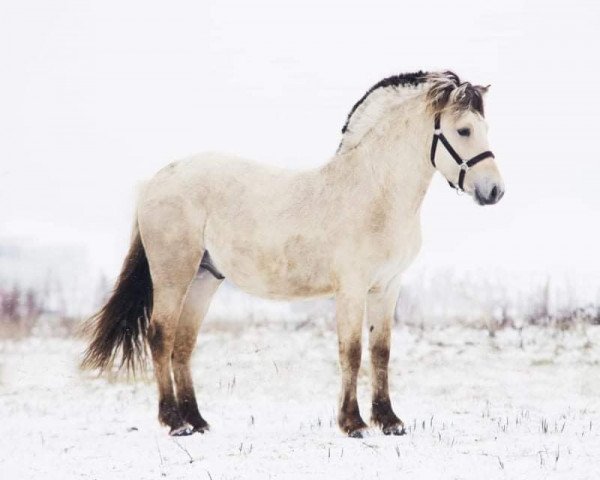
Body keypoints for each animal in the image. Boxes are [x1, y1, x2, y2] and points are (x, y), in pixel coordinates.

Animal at [82, 70, 504, 438]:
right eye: (463, 130)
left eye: (484, 129)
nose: (494, 191)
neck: (375, 193)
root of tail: (158, 179)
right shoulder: (351, 289)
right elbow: (351, 352)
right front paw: (353, 424)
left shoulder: (387, 287)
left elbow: (381, 351)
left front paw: (390, 421)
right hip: (173, 274)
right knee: (161, 336)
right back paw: (174, 422)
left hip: (204, 278)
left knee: (183, 344)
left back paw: (197, 420)